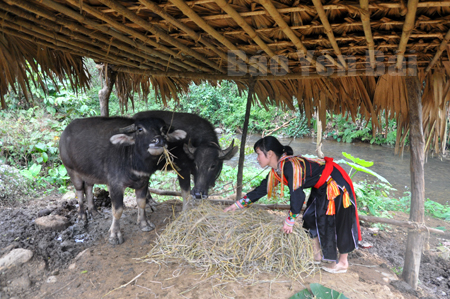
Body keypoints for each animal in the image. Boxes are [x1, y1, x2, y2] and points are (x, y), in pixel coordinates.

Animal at [59, 116, 186, 245]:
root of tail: (65, 133)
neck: (133, 161)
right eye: (140, 129)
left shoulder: (143, 182)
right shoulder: (116, 186)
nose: (159, 140)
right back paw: (82, 215)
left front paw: (144, 224)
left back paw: (93, 211)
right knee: (80, 191)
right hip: (71, 170)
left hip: (89, 174)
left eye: (163, 129)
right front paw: (115, 235)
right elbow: (117, 210)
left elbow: (142, 203)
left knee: (89, 188)